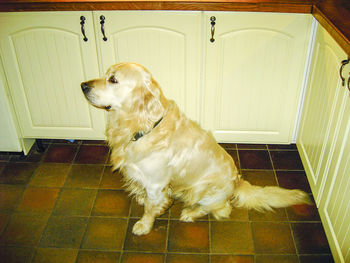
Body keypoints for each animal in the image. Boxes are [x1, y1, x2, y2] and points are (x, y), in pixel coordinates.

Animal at [80, 63, 310, 236]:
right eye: (106, 74)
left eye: (113, 80)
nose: (82, 85)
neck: (142, 126)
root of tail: (237, 181)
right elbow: (145, 196)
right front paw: (142, 198)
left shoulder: (156, 183)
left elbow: (151, 208)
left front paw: (144, 225)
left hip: (201, 189)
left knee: (222, 209)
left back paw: (190, 213)